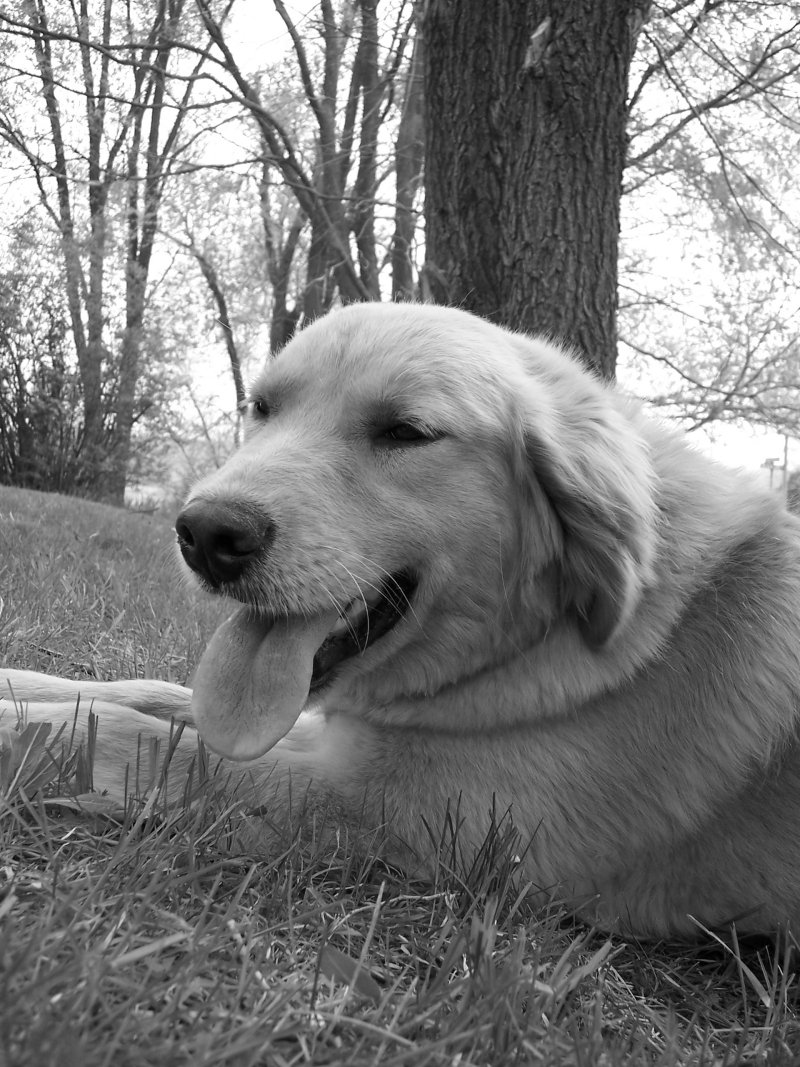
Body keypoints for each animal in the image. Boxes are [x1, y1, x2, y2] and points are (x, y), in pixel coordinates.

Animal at [4, 300, 800, 934]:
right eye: (262, 407)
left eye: (407, 432)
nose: (205, 532)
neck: (534, 635)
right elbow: (142, 695)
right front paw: (21, 685)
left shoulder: (402, 815)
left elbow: (135, 736)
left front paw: (21, 729)